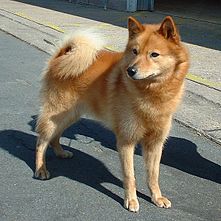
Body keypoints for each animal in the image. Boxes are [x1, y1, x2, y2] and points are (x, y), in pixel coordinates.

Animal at [34, 16, 188, 212]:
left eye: (154, 54)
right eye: (134, 51)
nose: (130, 71)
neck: (151, 94)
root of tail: (61, 56)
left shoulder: (155, 143)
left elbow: (153, 175)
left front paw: (157, 197)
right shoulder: (126, 141)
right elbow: (130, 176)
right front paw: (131, 200)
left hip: (69, 116)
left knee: (55, 136)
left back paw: (61, 153)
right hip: (55, 116)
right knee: (41, 142)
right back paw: (40, 169)